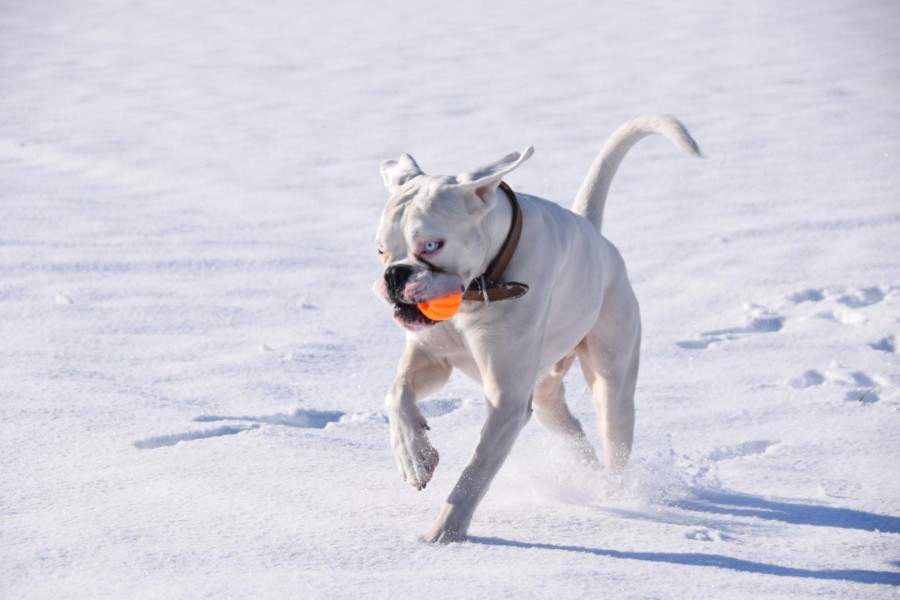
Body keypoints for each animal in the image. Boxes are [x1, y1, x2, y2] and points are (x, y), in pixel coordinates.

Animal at [374, 115, 704, 540]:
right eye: (381, 249)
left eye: (432, 245)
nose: (395, 275)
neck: (483, 284)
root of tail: (593, 231)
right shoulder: (432, 357)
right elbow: (396, 393)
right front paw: (414, 456)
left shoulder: (508, 401)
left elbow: (476, 470)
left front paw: (445, 534)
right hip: (547, 397)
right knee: (574, 431)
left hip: (611, 382)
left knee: (613, 431)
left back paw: (615, 495)